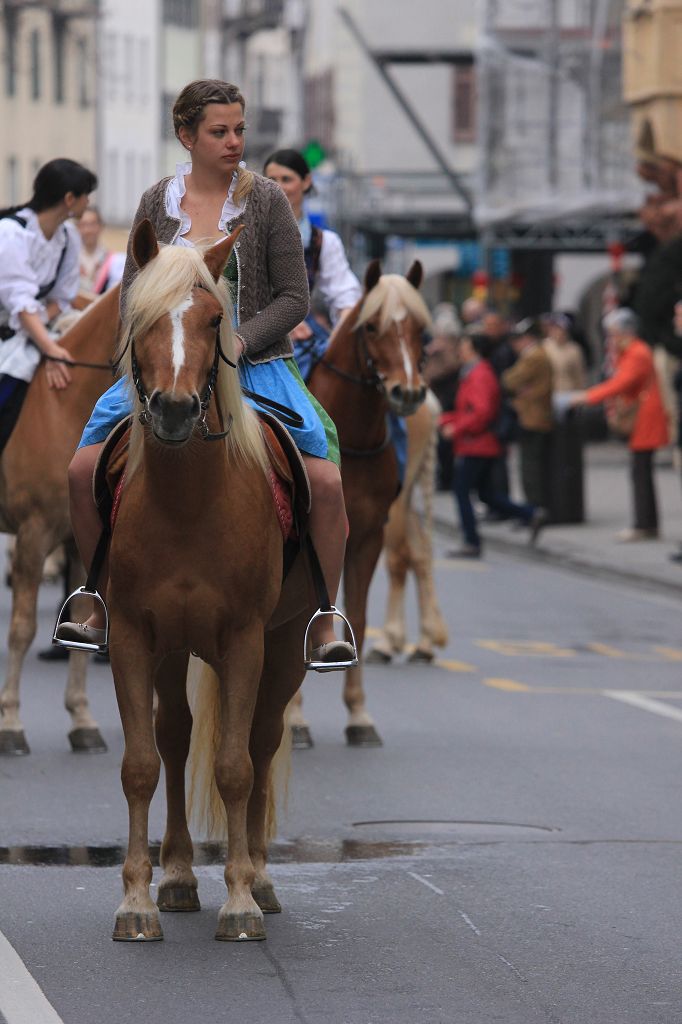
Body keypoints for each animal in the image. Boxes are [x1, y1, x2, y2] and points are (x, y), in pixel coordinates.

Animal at [0, 285, 121, 756]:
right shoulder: (34, 534)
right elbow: (22, 629)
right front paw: (10, 723)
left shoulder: (79, 542)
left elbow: (83, 621)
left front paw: (82, 719)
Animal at [106, 220, 312, 942]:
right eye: (140, 318)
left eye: (215, 319)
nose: (172, 410)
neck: (189, 503)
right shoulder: (131, 634)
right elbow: (141, 763)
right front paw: (137, 901)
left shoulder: (247, 638)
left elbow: (235, 765)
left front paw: (242, 900)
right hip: (174, 649)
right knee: (173, 737)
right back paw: (176, 877)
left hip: (283, 648)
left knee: (261, 739)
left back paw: (261, 878)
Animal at [289, 260, 430, 748]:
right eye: (372, 326)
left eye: (422, 331)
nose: (408, 393)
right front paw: (295, 721)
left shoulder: (368, 538)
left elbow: (361, 619)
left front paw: (359, 715)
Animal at [366, 389, 449, 665]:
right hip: (407, 496)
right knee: (419, 552)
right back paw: (423, 643)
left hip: (394, 499)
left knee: (400, 556)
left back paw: (388, 642)